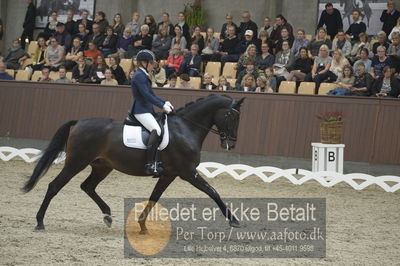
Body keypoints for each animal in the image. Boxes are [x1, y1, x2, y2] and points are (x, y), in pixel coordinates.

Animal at [24, 94, 244, 232]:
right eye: (232, 116)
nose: (231, 143)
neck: (185, 128)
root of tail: (78, 122)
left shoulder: (169, 174)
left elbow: (154, 197)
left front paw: (142, 224)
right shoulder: (188, 172)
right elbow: (212, 192)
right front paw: (234, 220)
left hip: (102, 166)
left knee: (87, 186)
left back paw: (107, 215)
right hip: (76, 162)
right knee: (54, 186)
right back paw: (40, 222)